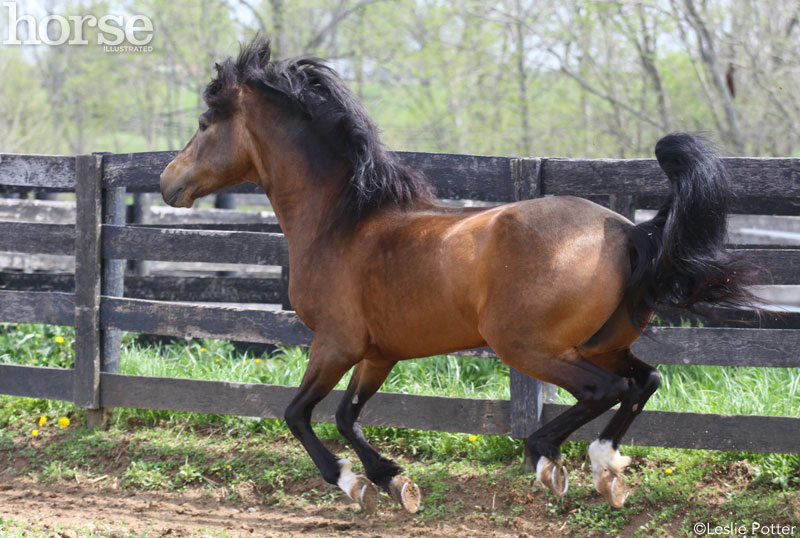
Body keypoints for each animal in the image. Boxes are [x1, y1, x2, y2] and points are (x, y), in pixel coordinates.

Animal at [159, 35, 752, 512]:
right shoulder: (378, 352)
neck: (342, 223)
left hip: (527, 345)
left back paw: (549, 457)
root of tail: (627, 232)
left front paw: (354, 483)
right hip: (602, 342)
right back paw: (606, 466)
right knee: (644, 380)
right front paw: (393, 481)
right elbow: (347, 416)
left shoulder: (334, 343)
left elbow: (298, 414)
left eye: (204, 124)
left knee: (604, 389)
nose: (168, 183)